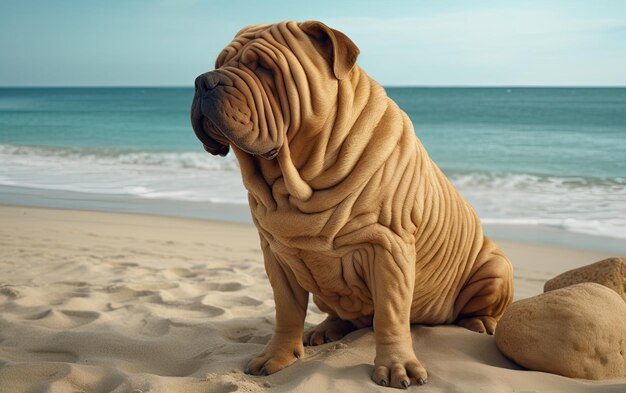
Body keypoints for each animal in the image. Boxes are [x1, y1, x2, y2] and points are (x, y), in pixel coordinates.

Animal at [190, 19, 512, 388]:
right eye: (218, 64)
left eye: (263, 67)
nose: (203, 81)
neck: (298, 180)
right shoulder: (276, 254)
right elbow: (286, 310)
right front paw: (277, 356)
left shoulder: (388, 247)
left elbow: (390, 315)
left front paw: (397, 365)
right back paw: (326, 329)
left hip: (495, 266)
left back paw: (479, 322)